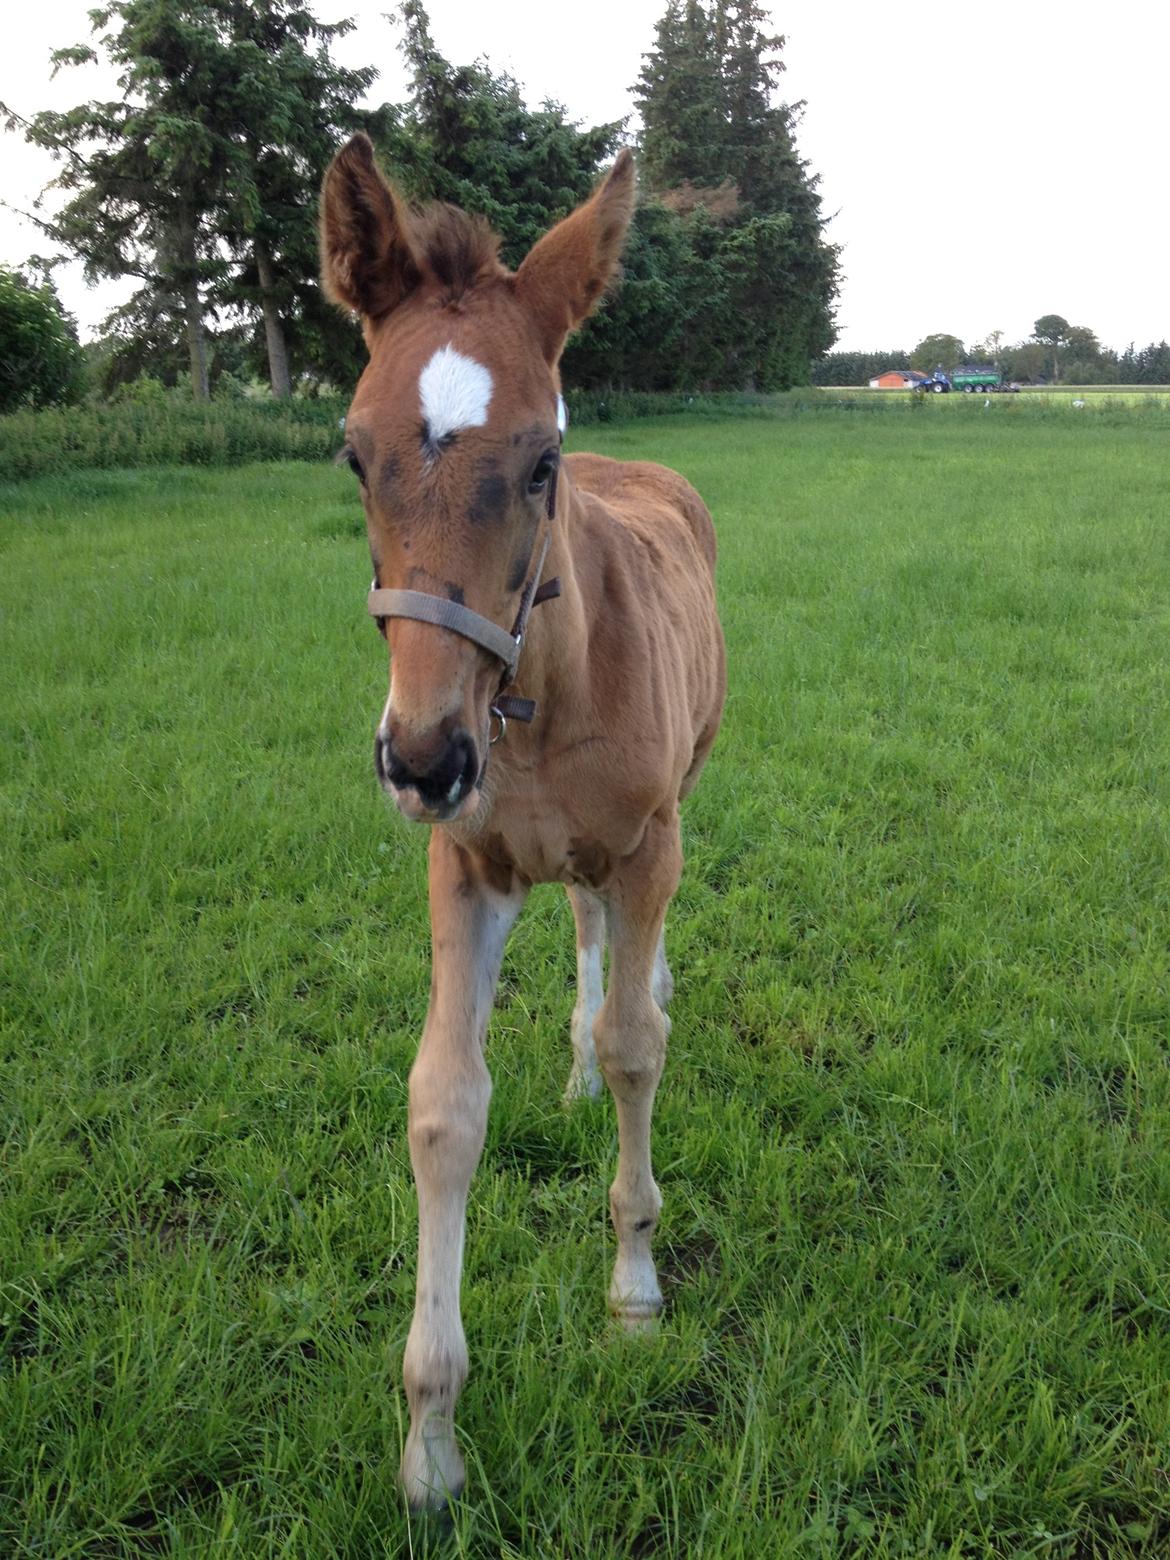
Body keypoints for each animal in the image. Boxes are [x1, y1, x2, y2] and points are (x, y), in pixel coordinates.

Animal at [321, 137, 723, 1510]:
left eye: (541, 461)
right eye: (352, 455)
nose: (423, 758)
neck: (537, 699)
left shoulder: (648, 844)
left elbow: (642, 1047)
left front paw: (636, 1291)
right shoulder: (468, 867)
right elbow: (446, 1104)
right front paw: (430, 1443)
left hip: (672, 811)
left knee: (629, 967)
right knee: (588, 943)